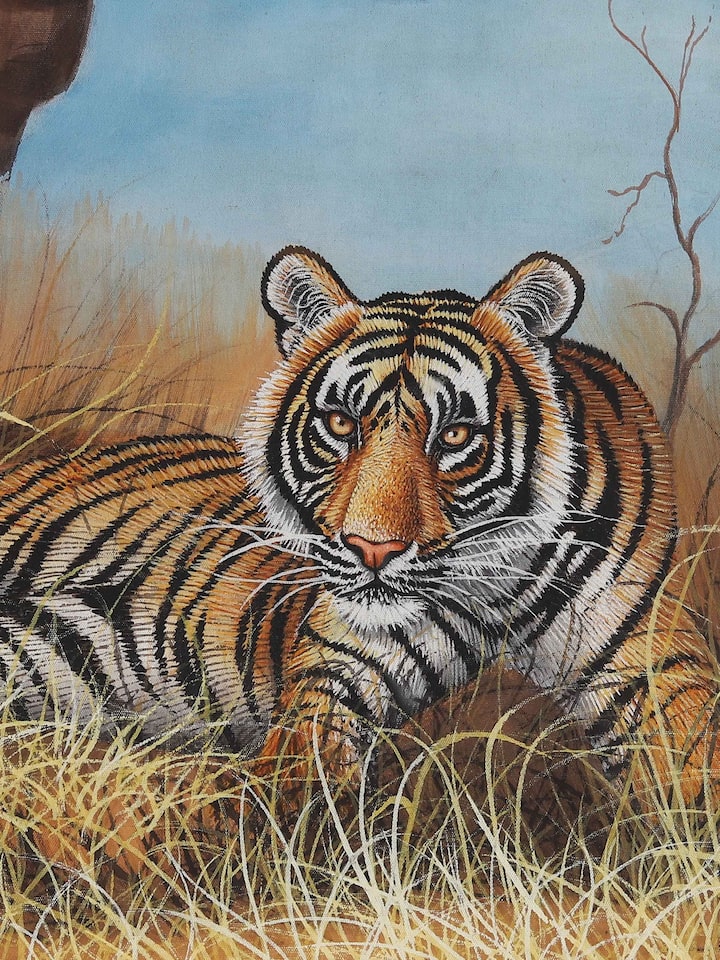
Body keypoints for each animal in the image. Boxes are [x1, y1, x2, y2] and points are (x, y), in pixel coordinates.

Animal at [0, 245, 717, 816]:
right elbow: (301, 785)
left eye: (455, 436)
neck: (499, 593)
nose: (372, 550)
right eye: (342, 424)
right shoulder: (337, 669)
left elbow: (692, 757)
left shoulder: (649, 653)